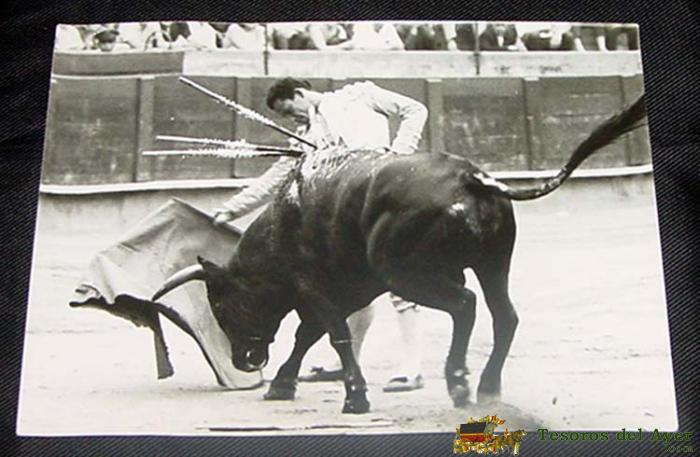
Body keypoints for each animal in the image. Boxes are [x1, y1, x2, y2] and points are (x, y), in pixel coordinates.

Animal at [152, 95, 646, 414]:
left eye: (221, 305)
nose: (244, 361)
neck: (282, 222)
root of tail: (471, 177)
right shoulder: (347, 290)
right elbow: (310, 335)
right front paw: (283, 385)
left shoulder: (313, 287)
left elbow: (331, 334)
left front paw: (354, 398)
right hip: (492, 263)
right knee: (504, 314)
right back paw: (487, 387)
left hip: (408, 273)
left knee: (464, 305)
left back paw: (459, 382)